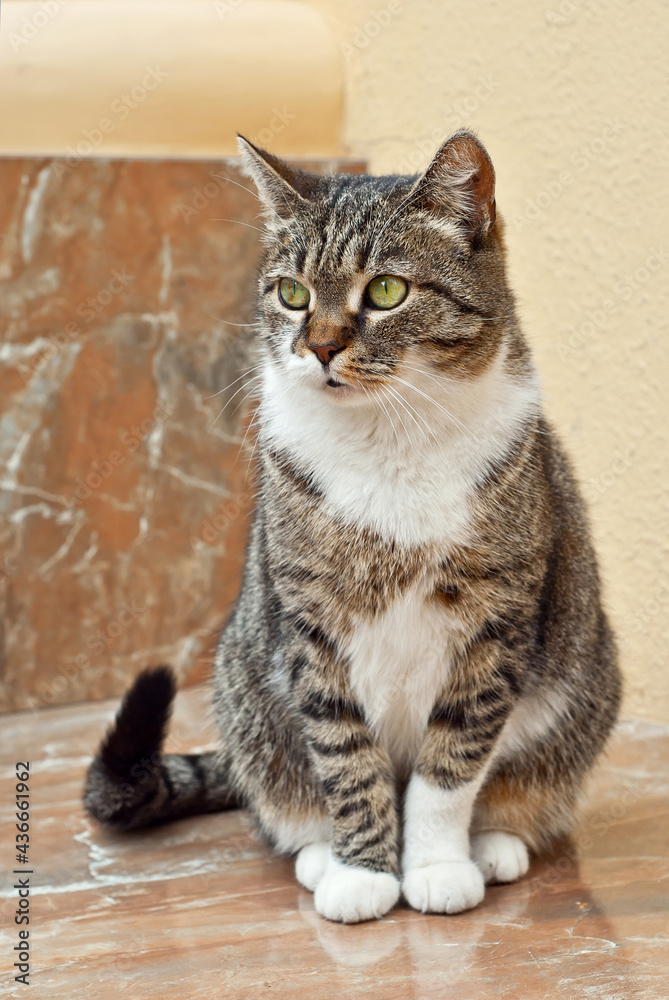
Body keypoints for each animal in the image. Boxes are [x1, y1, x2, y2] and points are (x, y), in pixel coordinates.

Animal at [83, 131, 620, 920]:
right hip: (247, 695)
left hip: (582, 687)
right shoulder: (312, 622)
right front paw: (364, 872)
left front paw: (434, 866)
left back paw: (492, 847)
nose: (321, 346)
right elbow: (345, 756)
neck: (387, 441)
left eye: (387, 291)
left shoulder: (495, 620)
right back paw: (319, 854)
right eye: (292, 294)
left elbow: (449, 766)